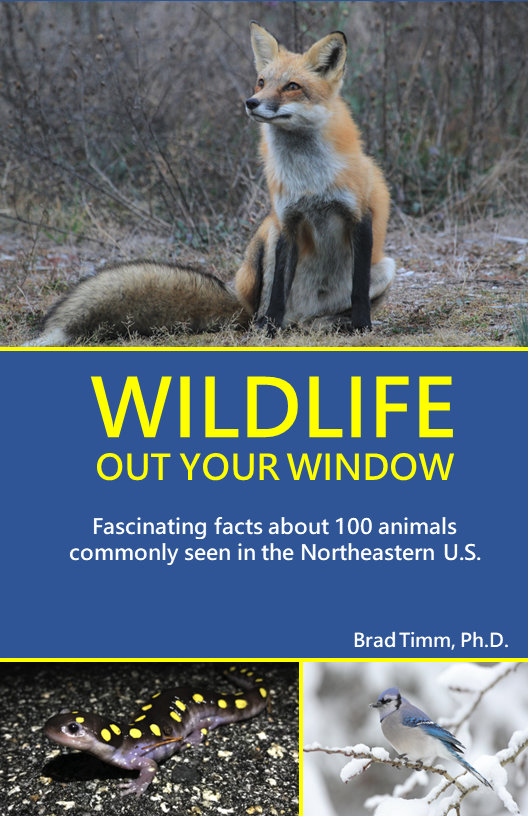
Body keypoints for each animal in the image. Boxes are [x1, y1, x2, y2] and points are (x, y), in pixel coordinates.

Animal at [23, 22, 394, 347]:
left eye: (292, 86)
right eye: (261, 82)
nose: (251, 102)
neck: (310, 180)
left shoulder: (360, 217)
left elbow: (358, 288)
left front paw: (362, 328)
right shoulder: (287, 222)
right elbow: (276, 292)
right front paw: (268, 334)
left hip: (386, 268)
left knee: (323, 312)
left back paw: (331, 324)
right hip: (267, 235)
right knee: (265, 308)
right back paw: (268, 325)